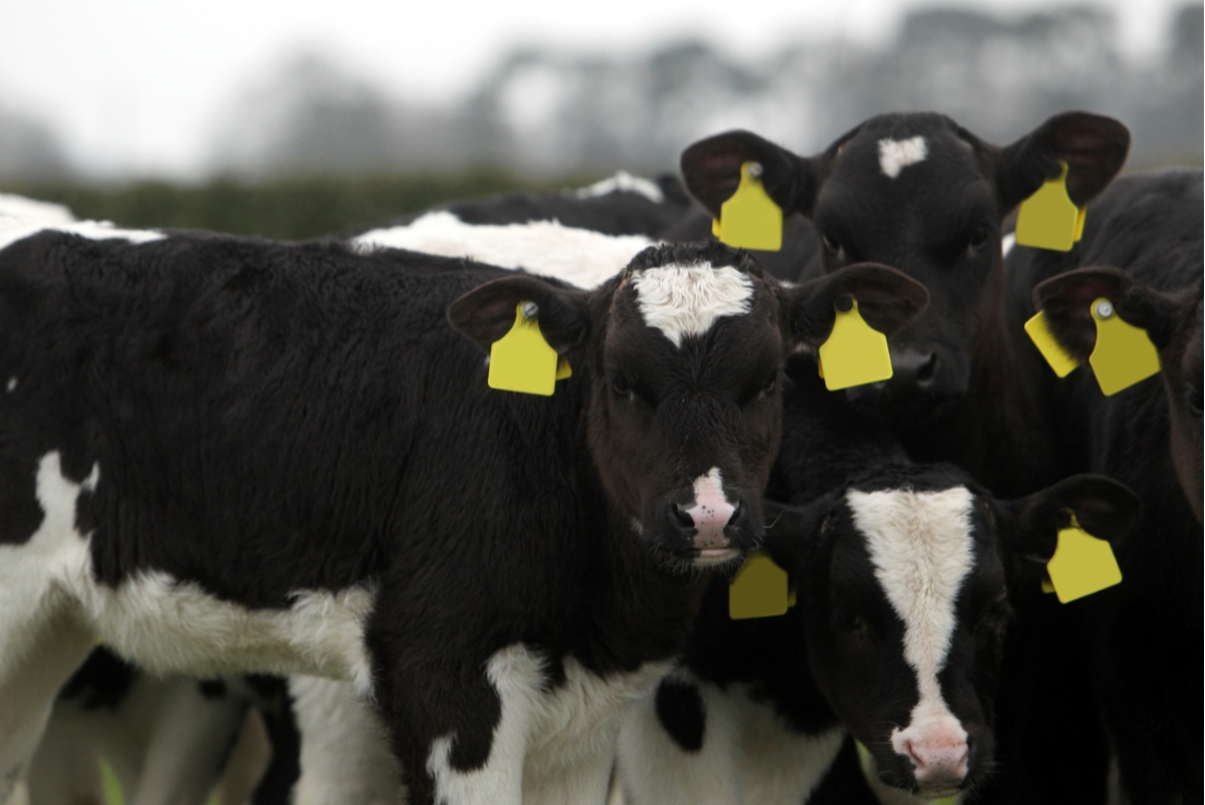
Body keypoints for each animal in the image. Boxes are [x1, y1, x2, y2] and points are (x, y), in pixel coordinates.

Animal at [0, 222, 925, 805]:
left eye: (765, 382)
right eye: (621, 381)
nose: (704, 517)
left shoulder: (586, 712)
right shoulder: (442, 670)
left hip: (47, 634)